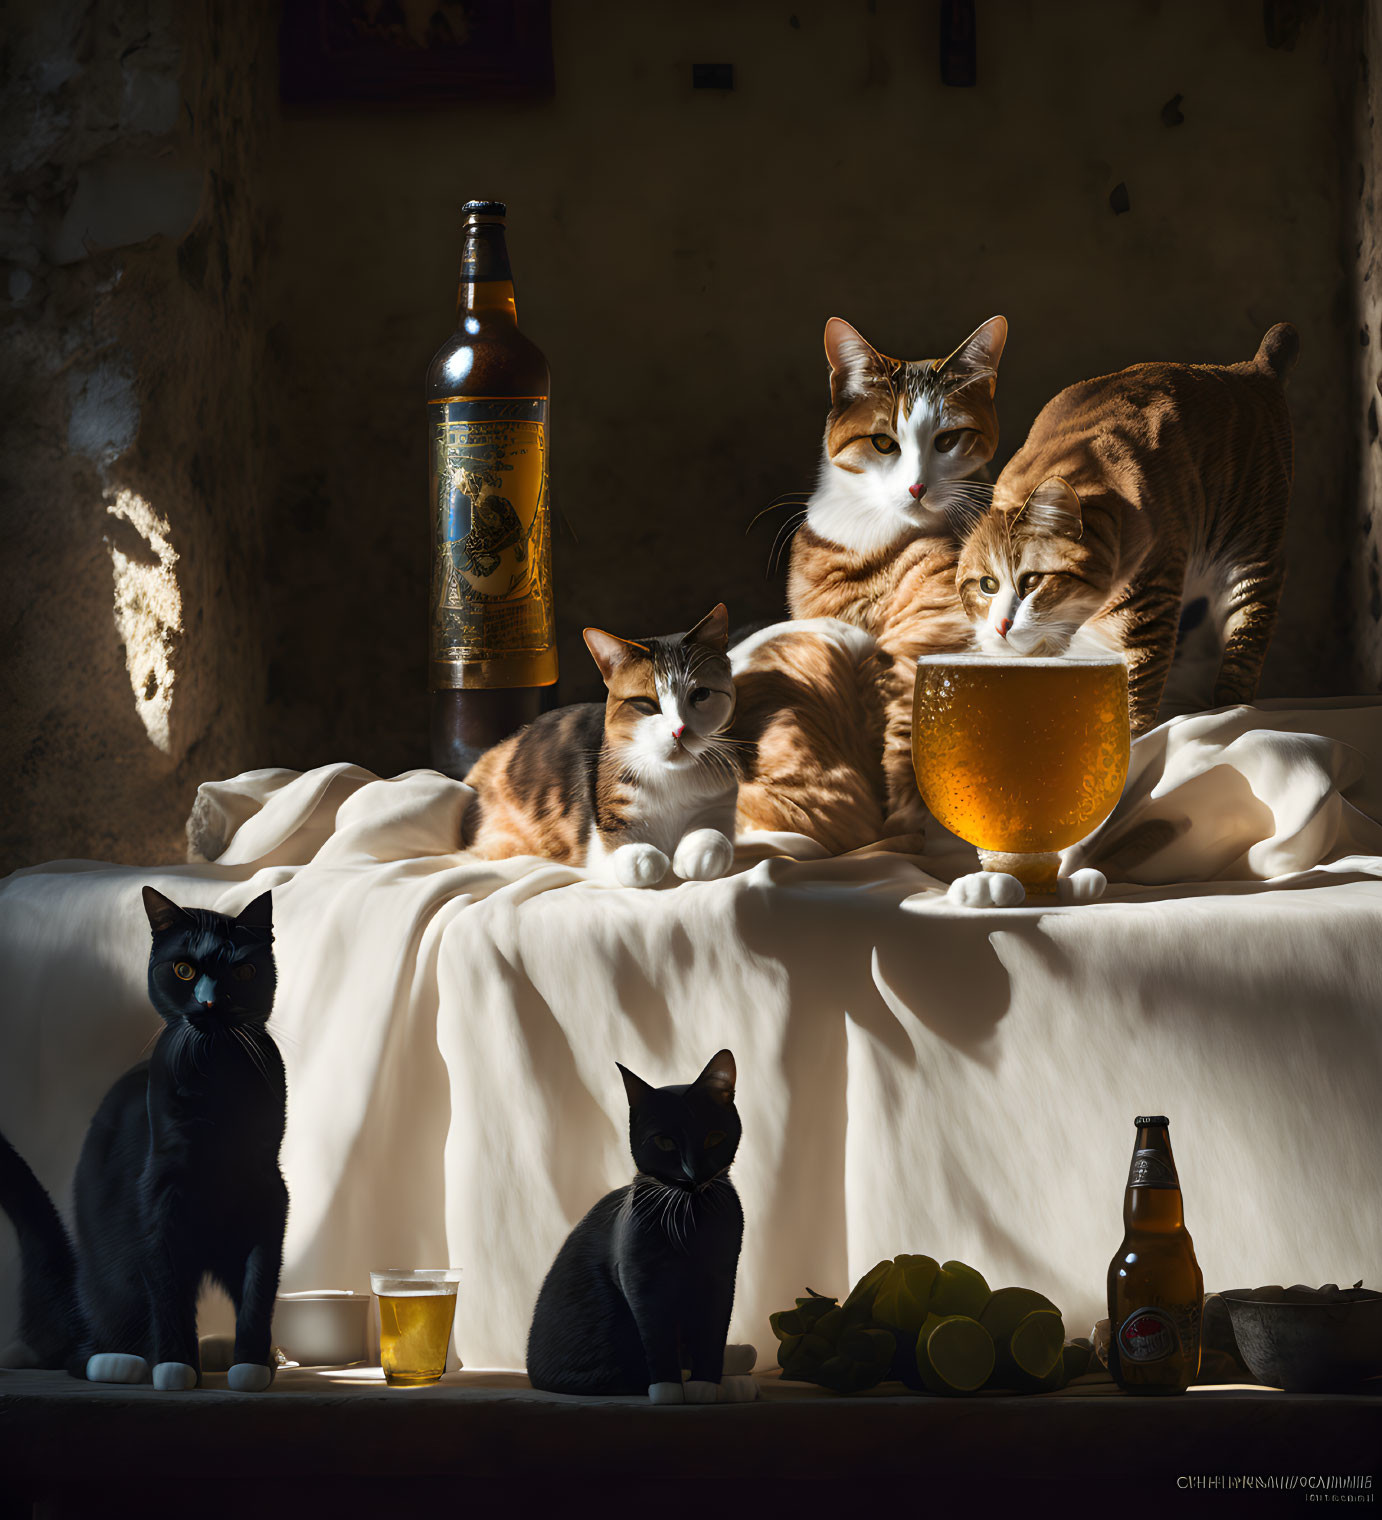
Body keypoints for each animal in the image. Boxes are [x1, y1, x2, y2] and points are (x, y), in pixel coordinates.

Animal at [0, 887, 287, 1392]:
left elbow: (259, 1285)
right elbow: (168, 1288)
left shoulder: (269, 1193)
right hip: (112, 1276)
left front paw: (251, 1366)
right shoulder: (158, 1194)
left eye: (243, 971)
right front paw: (176, 1368)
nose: (209, 1003)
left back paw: (230, 1352)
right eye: (184, 970)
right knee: (91, 1340)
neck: (218, 1075)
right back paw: (121, 1360)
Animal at [462, 601, 744, 887]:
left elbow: (710, 844)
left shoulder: (719, 804)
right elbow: (641, 861)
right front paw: (658, 861)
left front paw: (693, 857)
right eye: (645, 704)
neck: (672, 780)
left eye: (701, 694)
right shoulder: (605, 832)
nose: (679, 730)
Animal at [523, 1051, 754, 1404]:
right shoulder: (640, 1275)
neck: (689, 1218)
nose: (694, 1173)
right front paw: (668, 1390)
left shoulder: (722, 1274)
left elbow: (714, 1331)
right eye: (664, 1142)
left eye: (714, 1138)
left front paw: (705, 1386)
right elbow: (656, 1334)